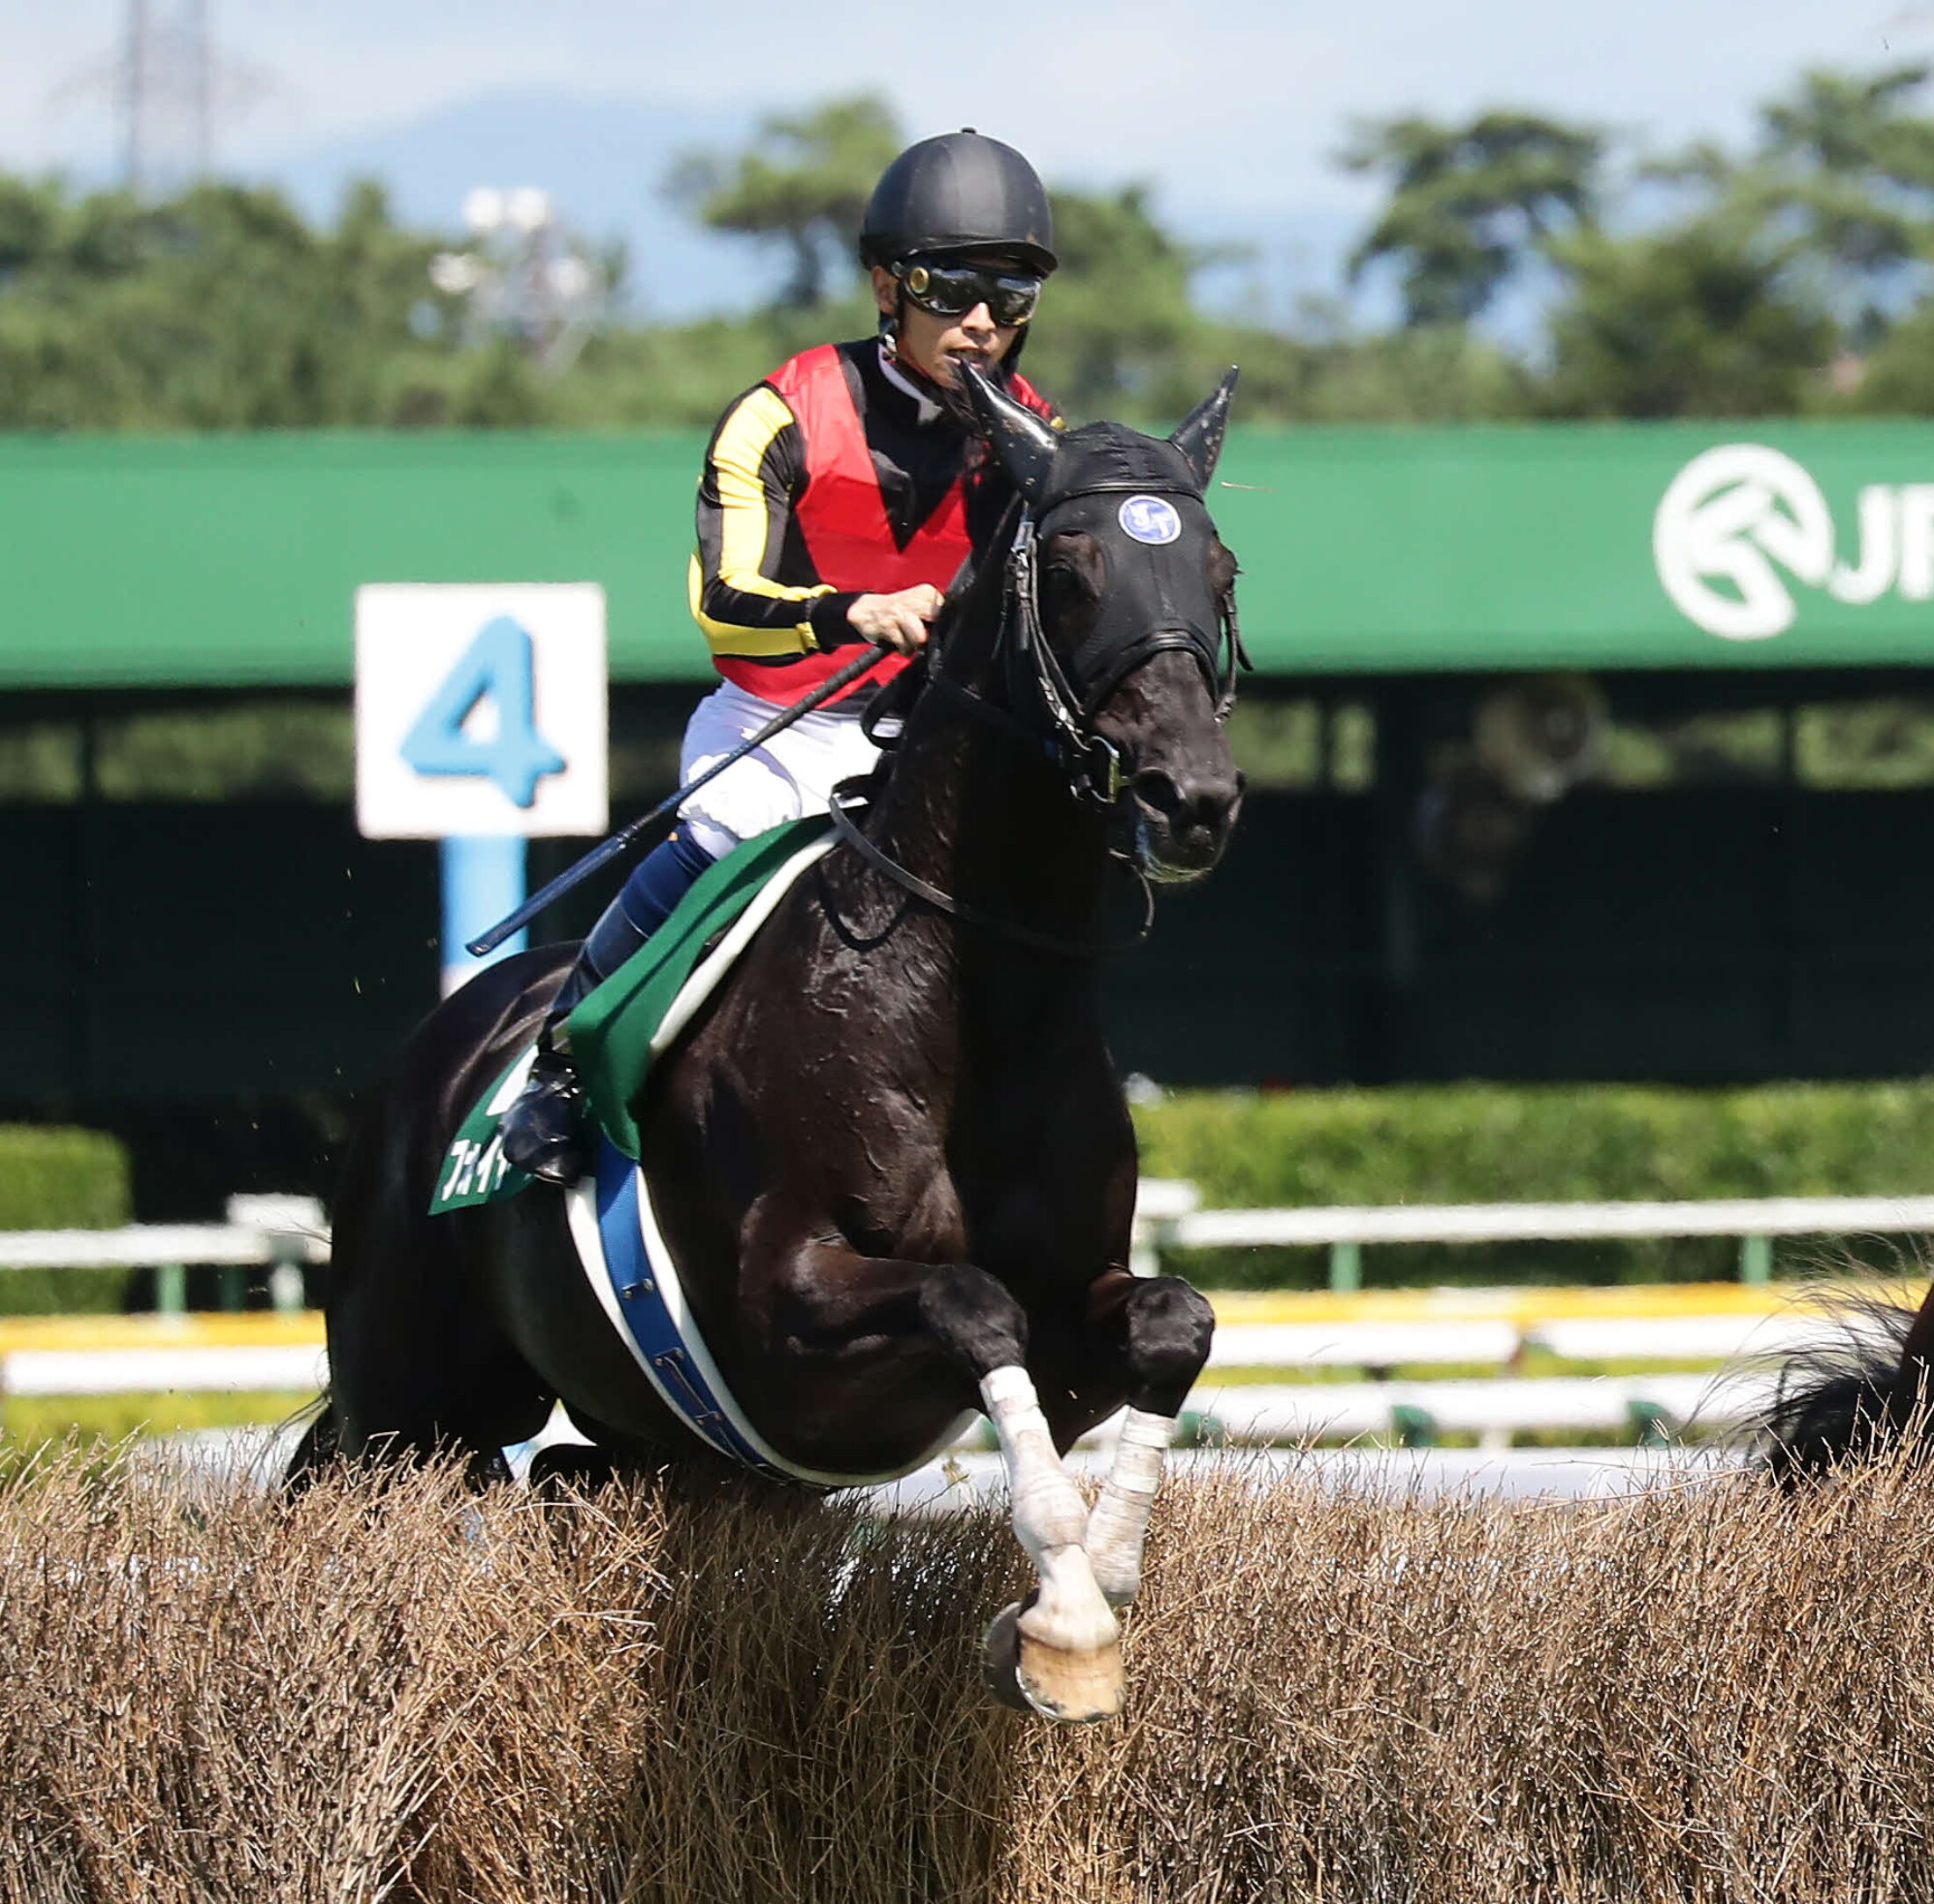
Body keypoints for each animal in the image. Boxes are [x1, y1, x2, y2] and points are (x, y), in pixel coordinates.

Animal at [300, 363, 1238, 1716]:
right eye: (1070, 569)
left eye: (1218, 569)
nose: (1192, 798)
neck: (971, 999)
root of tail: (431, 1057)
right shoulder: (783, 1317)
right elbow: (971, 1300)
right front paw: (1064, 1618)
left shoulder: (1078, 1315)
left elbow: (1172, 1320)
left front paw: (1096, 1591)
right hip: (404, 1405)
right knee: (350, 1486)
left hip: (640, 1447)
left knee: (568, 1484)